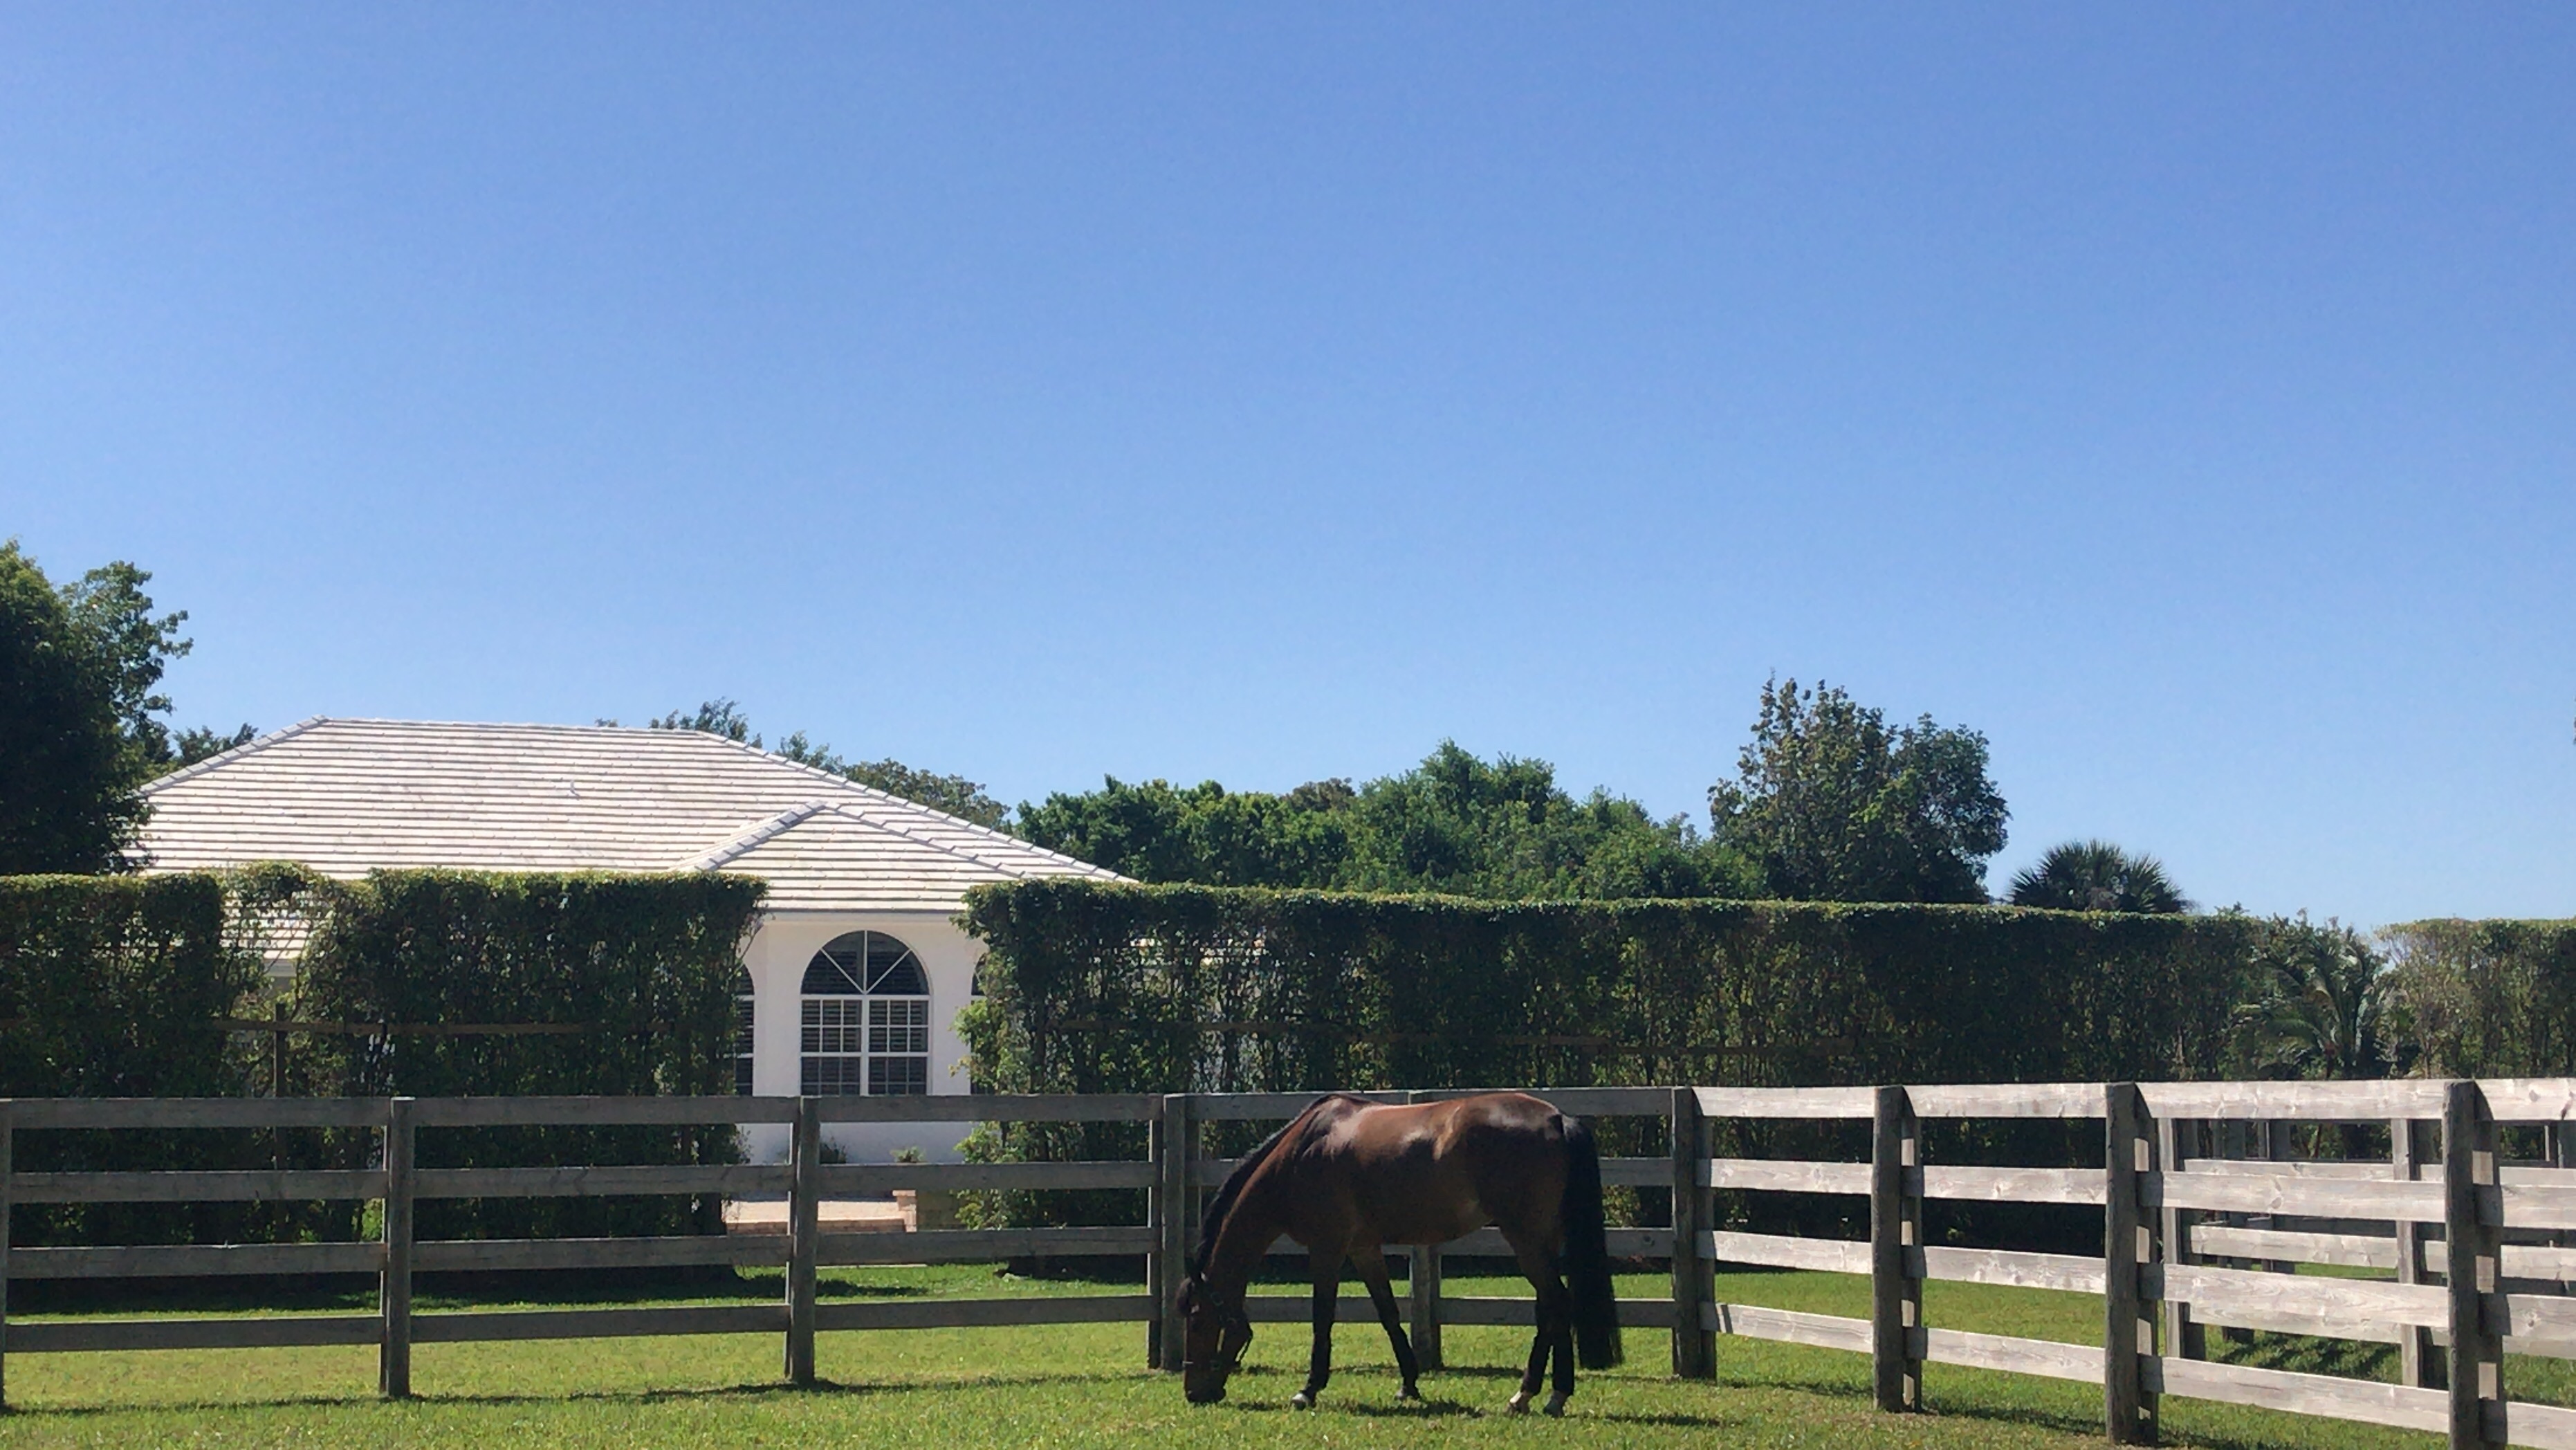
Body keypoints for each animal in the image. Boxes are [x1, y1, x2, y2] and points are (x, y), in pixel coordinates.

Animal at [1179, 1092, 1617, 1422]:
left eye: (1198, 1319)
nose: (1193, 1392)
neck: (1302, 1153)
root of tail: (1558, 1119)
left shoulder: (1327, 1249)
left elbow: (1322, 1317)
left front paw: (1308, 1389)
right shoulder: (1364, 1249)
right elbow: (1388, 1313)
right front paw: (1408, 1383)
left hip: (1524, 1238)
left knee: (1557, 1301)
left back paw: (1541, 1395)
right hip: (1540, 1241)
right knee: (1550, 1308)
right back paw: (1539, 1395)